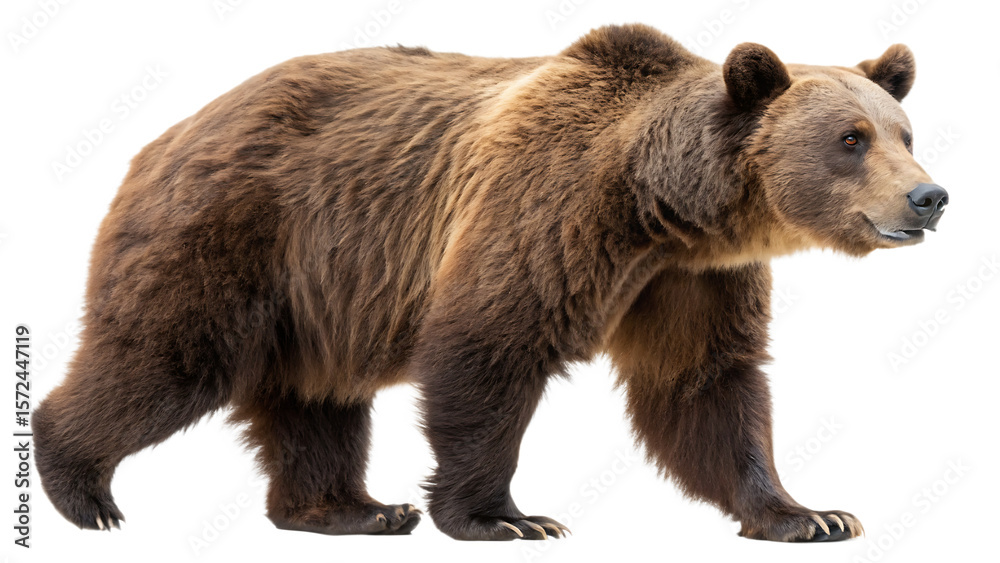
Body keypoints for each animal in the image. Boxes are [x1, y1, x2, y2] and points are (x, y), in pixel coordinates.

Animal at [33, 23, 948, 542]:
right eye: (851, 138)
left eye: (904, 132)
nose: (930, 196)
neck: (660, 206)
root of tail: (169, 133)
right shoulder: (544, 209)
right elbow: (487, 350)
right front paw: (506, 516)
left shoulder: (689, 279)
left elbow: (704, 386)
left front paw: (809, 513)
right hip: (236, 231)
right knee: (166, 357)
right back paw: (82, 488)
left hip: (321, 292)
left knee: (316, 398)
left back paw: (352, 508)